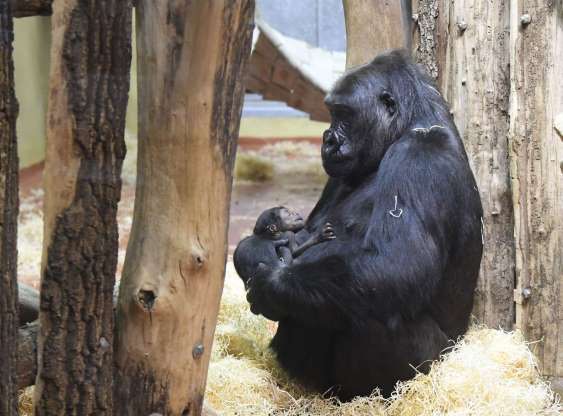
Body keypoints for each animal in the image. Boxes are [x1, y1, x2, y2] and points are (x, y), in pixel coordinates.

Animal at [240, 50, 482, 402]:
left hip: (430, 365)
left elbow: (393, 265)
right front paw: (258, 246)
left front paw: (270, 283)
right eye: (332, 112)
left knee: (374, 302)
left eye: (344, 113)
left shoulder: (421, 157)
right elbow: (301, 232)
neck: (412, 123)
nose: (328, 139)